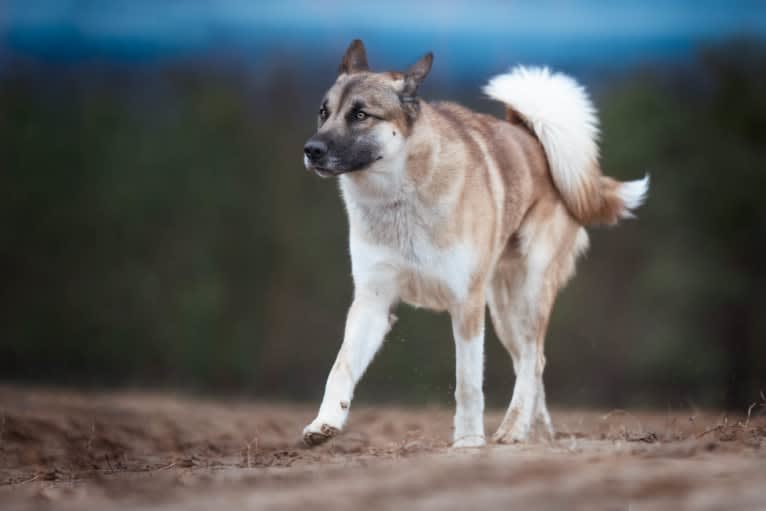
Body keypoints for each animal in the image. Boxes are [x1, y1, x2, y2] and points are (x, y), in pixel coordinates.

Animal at [300, 40, 648, 448]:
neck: (401, 195)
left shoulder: (466, 303)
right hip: (503, 308)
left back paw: (513, 430)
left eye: (360, 114)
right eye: (323, 112)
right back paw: (537, 433)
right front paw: (323, 424)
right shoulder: (373, 301)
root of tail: (535, 139)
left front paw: (468, 442)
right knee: (531, 363)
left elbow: (467, 382)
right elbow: (341, 366)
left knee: (532, 360)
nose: (311, 150)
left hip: (528, 293)